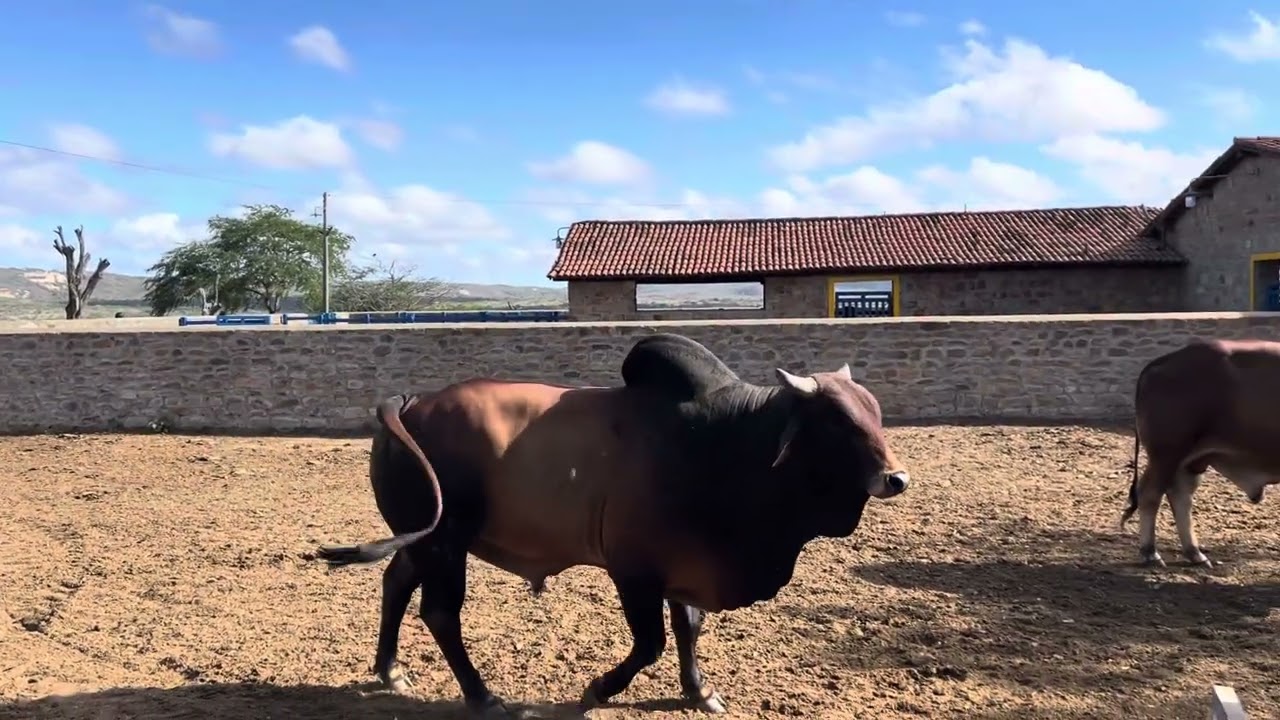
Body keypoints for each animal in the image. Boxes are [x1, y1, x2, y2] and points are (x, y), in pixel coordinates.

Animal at [314, 333, 911, 718]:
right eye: (838, 423)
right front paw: (598, 689)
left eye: (876, 413)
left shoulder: (682, 566)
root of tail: (411, 400)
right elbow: (650, 644)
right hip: (447, 542)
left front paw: (699, 692)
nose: (896, 478)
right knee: (440, 613)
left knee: (395, 581)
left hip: (424, 537)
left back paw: (391, 671)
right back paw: (482, 697)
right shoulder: (635, 572)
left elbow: (688, 629)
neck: (726, 441)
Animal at [1120, 337, 1280, 568]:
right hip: (1167, 453)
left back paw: (1194, 553)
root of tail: (1162, 361)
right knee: (1151, 494)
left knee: (1180, 496)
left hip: (1189, 460)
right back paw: (1151, 553)